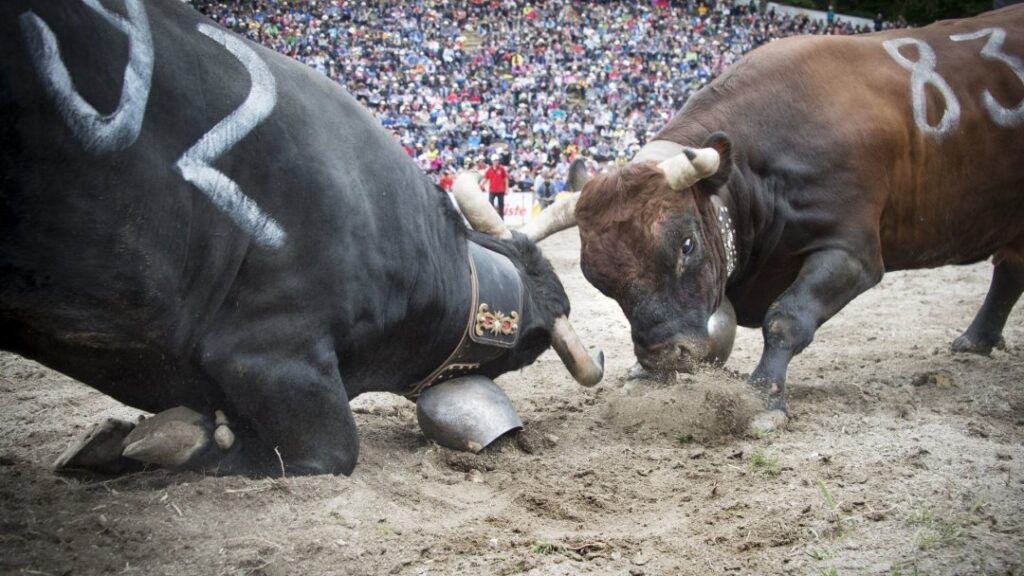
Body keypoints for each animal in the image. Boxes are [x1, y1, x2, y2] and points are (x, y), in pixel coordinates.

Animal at [573, 4, 1019, 426]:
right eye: (598, 280)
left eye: (687, 245)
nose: (664, 354)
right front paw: (645, 377)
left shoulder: (852, 253)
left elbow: (786, 318)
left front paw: (764, 396)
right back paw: (976, 341)